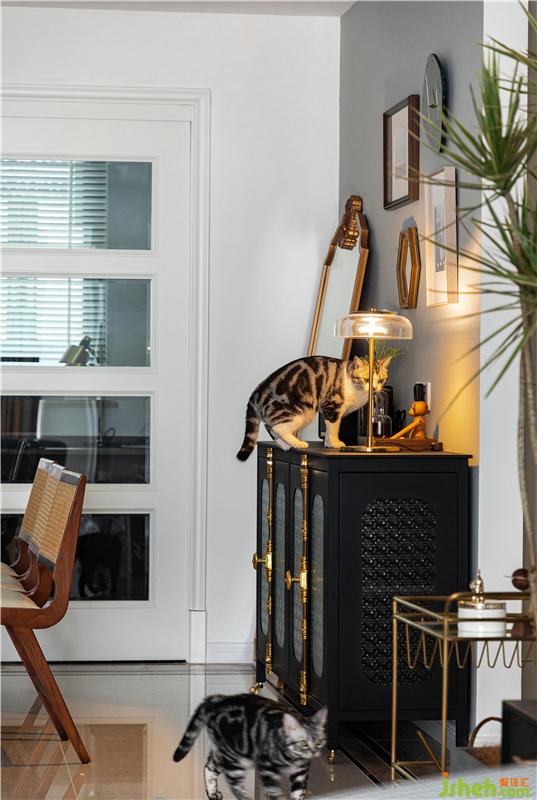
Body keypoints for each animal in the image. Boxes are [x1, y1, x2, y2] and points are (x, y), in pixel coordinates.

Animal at [173, 693, 327, 800]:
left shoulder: (300, 774)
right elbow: (276, 793)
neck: (292, 759)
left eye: (319, 742)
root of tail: (219, 700)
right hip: (234, 762)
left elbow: (298, 794)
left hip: (226, 754)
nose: (314, 752)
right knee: (236, 788)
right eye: (303, 743)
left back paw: (212, 793)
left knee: (209, 766)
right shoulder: (267, 770)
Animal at [236, 354, 391, 460]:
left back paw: (286, 445)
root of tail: (257, 391)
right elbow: (333, 428)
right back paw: (298, 443)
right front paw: (335, 443)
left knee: (270, 426)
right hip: (300, 412)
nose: (374, 388)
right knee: (278, 427)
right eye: (366, 379)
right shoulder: (332, 406)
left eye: (381, 380)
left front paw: (328, 443)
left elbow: (329, 429)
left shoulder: (329, 410)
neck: (355, 389)